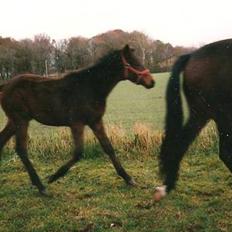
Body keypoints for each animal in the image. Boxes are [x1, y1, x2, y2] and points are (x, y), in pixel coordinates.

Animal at [0, 44, 156, 195]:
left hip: (14, 121)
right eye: (134, 63)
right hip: (21, 120)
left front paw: (128, 178)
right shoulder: (77, 123)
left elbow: (108, 148)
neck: (90, 87)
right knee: (21, 149)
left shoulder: (96, 122)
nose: (152, 82)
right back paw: (41, 186)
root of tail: (6, 85)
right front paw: (54, 176)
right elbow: (78, 152)